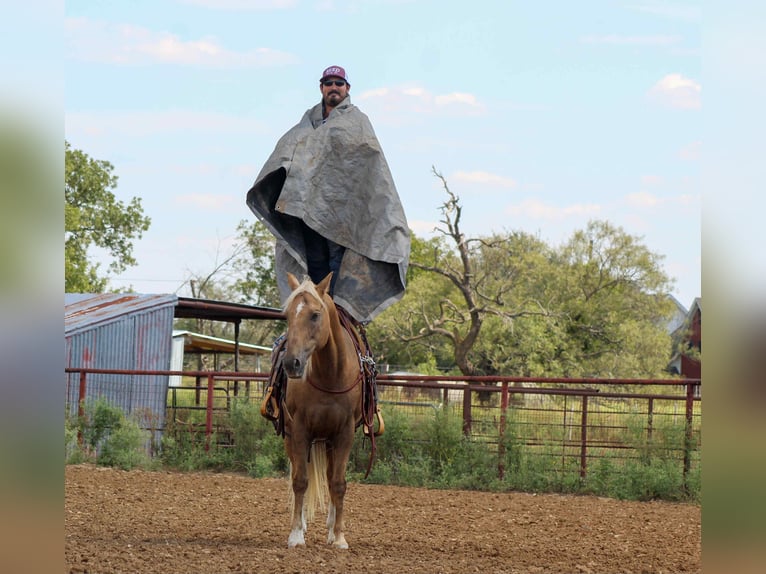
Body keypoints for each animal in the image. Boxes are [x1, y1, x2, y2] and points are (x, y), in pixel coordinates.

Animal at [280, 271, 365, 550]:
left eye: (315, 315)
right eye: (287, 315)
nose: (292, 363)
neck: (330, 376)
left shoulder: (345, 433)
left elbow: (338, 483)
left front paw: (338, 536)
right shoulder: (299, 430)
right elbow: (300, 481)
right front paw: (296, 534)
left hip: (329, 441)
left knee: (329, 477)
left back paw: (330, 527)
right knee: (298, 473)